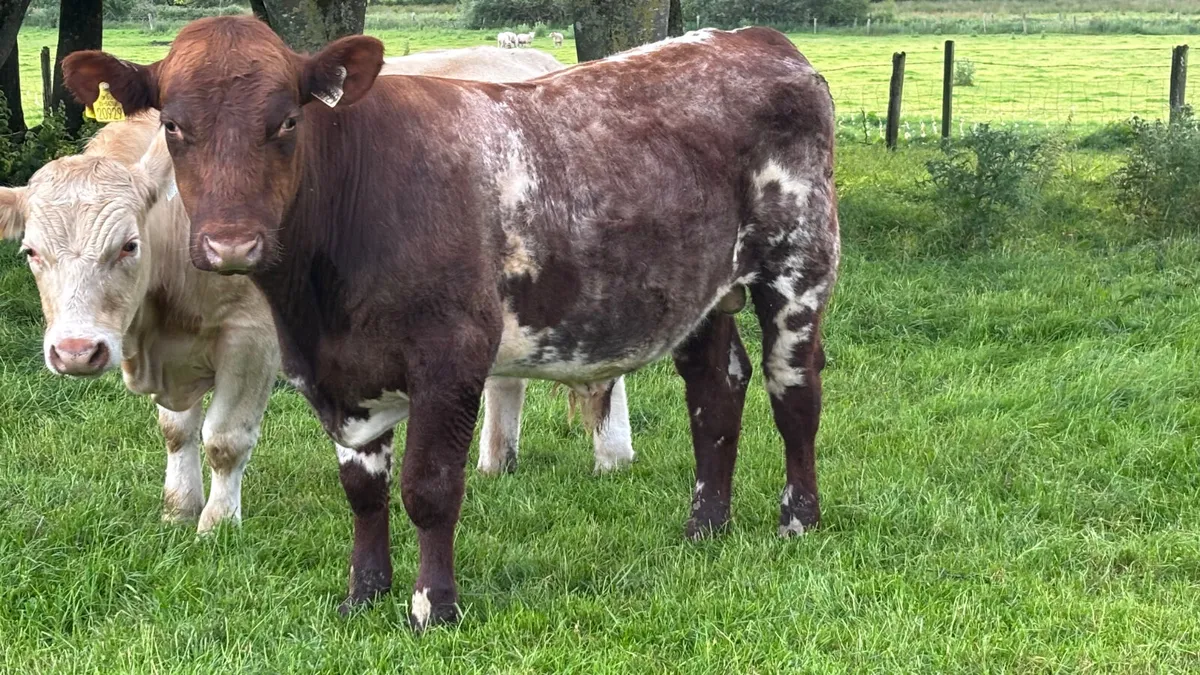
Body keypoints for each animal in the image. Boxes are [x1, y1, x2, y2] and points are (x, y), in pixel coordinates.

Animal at [65, 18, 839, 631]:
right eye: (174, 125)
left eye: (285, 121)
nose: (231, 244)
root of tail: (755, 38)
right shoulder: (335, 370)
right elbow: (363, 489)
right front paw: (364, 595)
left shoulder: (452, 356)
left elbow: (429, 489)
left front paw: (432, 606)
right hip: (702, 294)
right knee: (717, 392)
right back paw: (705, 526)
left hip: (798, 268)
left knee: (794, 393)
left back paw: (798, 519)